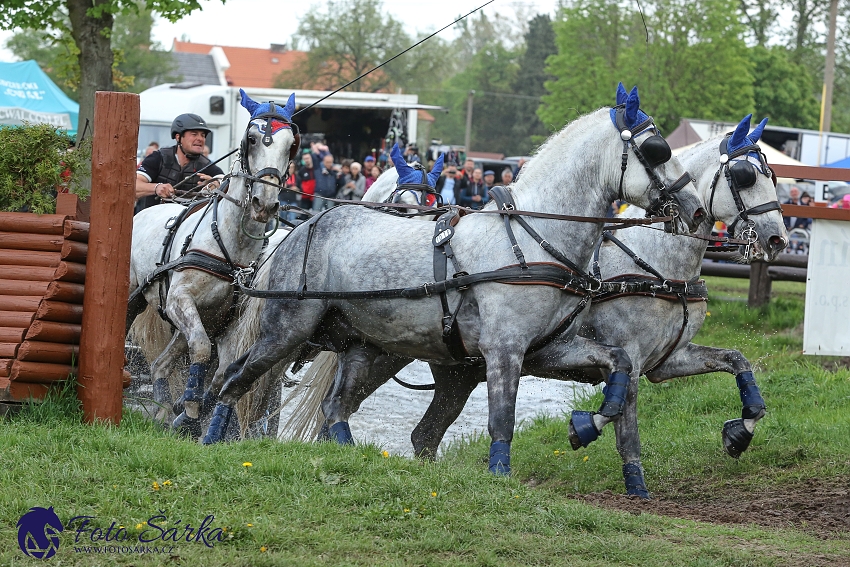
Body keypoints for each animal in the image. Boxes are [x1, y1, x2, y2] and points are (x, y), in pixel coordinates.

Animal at [126, 89, 298, 438]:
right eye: (251, 139)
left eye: (291, 144)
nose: (264, 203)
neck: (231, 249)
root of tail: (145, 212)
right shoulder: (179, 299)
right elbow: (204, 349)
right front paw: (189, 405)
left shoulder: (229, 323)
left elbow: (221, 375)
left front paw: (185, 412)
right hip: (138, 295)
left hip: (192, 319)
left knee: (161, 364)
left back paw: (163, 407)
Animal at [204, 86, 704, 480]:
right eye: (658, 149)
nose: (696, 209)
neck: (532, 235)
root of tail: (301, 227)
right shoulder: (505, 349)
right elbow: (502, 420)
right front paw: (500, 476)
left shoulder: (549, 348)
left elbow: (619, 363)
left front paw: (587, 425)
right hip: (288, 329)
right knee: (232, 380)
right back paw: (208, 440)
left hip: (363, 345)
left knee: (335, 407)